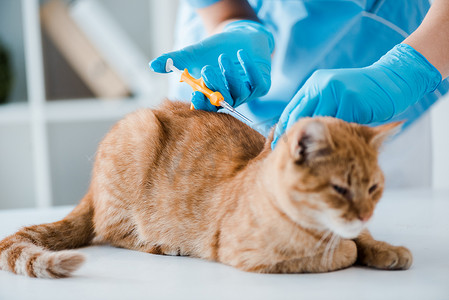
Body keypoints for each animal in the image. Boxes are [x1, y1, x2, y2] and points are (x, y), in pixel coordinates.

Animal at [0, 101, 410, 278]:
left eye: (373, 187)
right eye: (340, 188)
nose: (365, 212)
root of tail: (91, 187)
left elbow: (362, 239)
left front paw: (386, 249)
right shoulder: (249, 255)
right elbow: (343, 251)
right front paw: (351, 249)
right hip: (139, 133)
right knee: (111, 231)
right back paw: (165, 245)